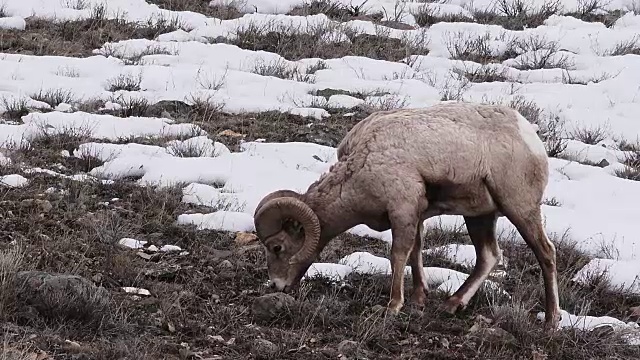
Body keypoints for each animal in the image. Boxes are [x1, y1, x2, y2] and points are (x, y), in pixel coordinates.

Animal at [254, 100, 560, 330]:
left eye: (277, 247)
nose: (277, 285)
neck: (361, 168)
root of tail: (530, 137)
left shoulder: (402, 210)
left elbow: (399, 255)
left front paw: (393, 306)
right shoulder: (415, 215)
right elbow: (416, 251)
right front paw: (418, 299)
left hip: (520, 209)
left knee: (545, 254)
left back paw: (551, 322)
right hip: (479, 216)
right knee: (489, 256)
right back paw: (452, 305)